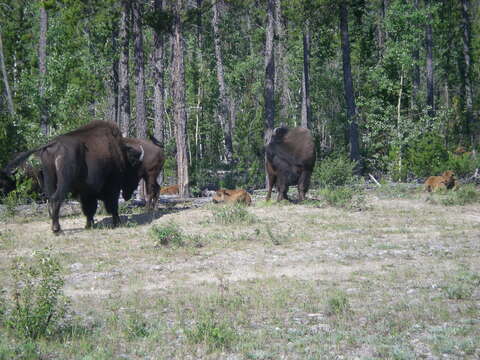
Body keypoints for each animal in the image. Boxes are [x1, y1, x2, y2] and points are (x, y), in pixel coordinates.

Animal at [5, 121, 142, 233]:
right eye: (134, 169)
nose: (132, 190)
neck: (120, 153)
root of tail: (53, 144)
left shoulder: (87, 193)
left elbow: (89, 209)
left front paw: (89, 225)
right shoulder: (112, 188)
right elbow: (111, 206)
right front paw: (117, 223)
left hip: (49, 179)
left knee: (50, 199)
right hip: (64, 182)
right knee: (56, 199)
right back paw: (57, 229)